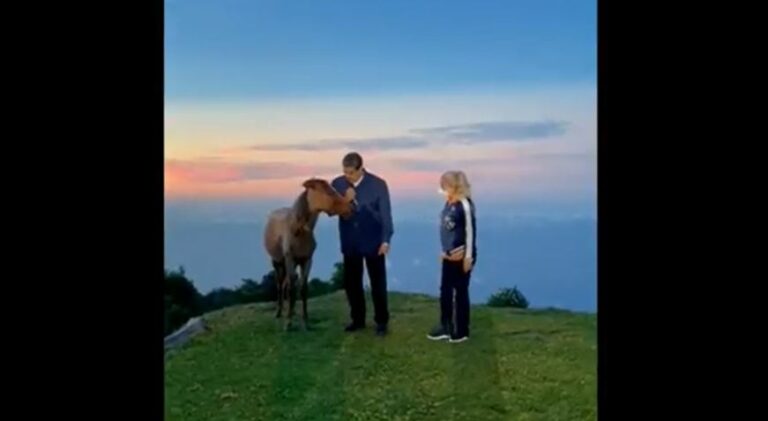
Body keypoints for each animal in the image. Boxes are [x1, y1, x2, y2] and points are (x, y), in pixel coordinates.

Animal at [263, 178, 352, 330]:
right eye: (328, 191)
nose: (351, 208)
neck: (298, 231)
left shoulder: (307, 260)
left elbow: (303, 288)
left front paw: (305, 322)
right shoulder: (290, 258)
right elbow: (292, 289)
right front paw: (288, 324)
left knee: (286, 283)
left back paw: (291, 311)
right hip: (277, 262)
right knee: (280, 284)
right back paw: (280, 312)